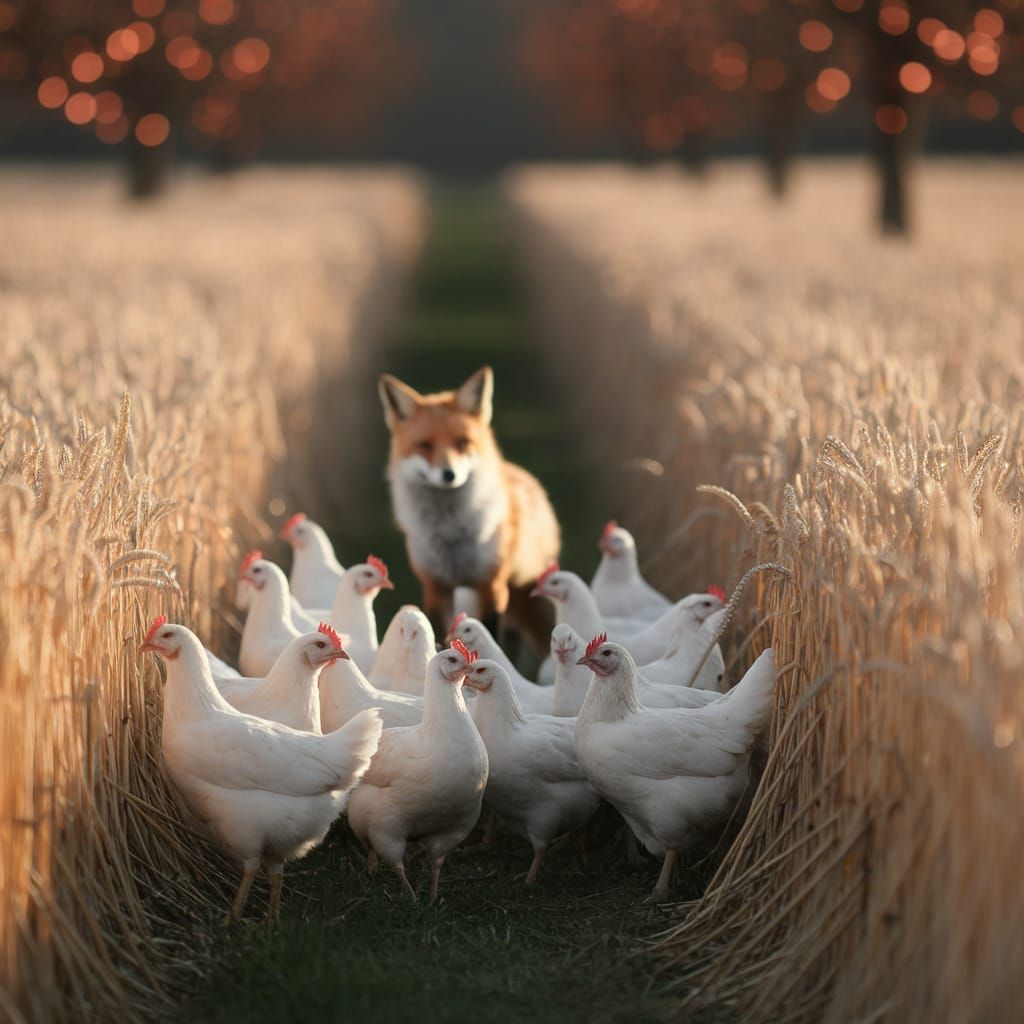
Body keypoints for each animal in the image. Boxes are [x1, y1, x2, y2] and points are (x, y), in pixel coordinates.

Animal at [378, 366, 560, 652]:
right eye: (425, 445)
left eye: (462, 442)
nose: (449, 474)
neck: (450, 533)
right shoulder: (435, 586)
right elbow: (437, 634)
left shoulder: (492, 586)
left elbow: (490, 634)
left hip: (529, 606)